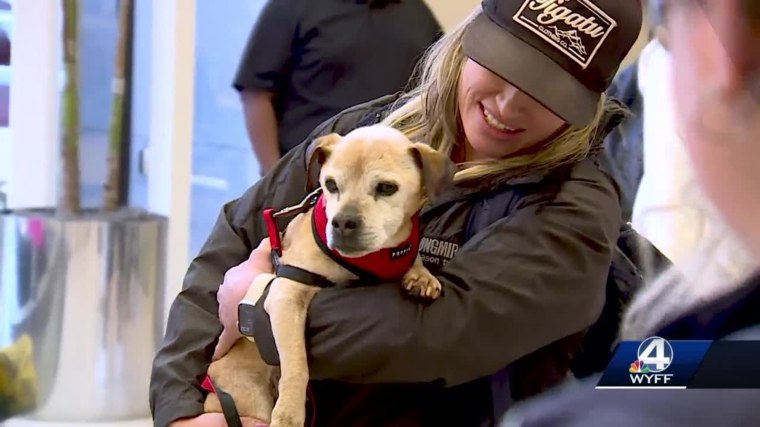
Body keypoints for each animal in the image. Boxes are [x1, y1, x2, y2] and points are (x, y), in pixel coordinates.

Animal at [202, 125, 454, 427]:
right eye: (330, 185)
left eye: (386, 188)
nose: (342, 222)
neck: (368, 258)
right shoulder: (287, 294)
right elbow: (297, 364)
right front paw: (289, 414)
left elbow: (412, 255)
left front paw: (420, 275)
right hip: (249, 400)